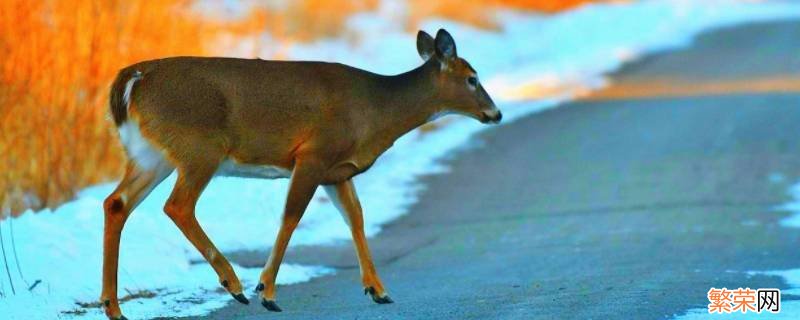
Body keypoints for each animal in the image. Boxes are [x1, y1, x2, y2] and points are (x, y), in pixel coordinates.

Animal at [100, 28, 500, 318]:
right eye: (472, 78)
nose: (495, 113)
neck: (376, 111)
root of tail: (132, 78)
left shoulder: (337, 171)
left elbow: (356, 219)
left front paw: (378, 290)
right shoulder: (313, 154)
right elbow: (291, 216)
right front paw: (267, 292)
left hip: (152, 154)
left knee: (116, 203)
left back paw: (113, 308)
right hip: (200, 147)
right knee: (178, 206)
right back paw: (234, 284)